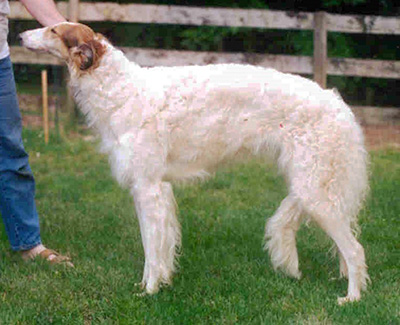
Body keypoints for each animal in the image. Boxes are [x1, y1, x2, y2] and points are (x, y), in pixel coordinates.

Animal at [19, 22, 368, 304]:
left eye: (53, 29)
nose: (20, 35)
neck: (123, 91)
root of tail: (337, 103)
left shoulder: (148, 188)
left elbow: (152, 250)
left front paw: (150, 291)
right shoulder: (149, 189)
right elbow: (152, 248)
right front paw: (147, 285)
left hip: (315, 192)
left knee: (355, 250)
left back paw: (351, 298)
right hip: (311, 185)